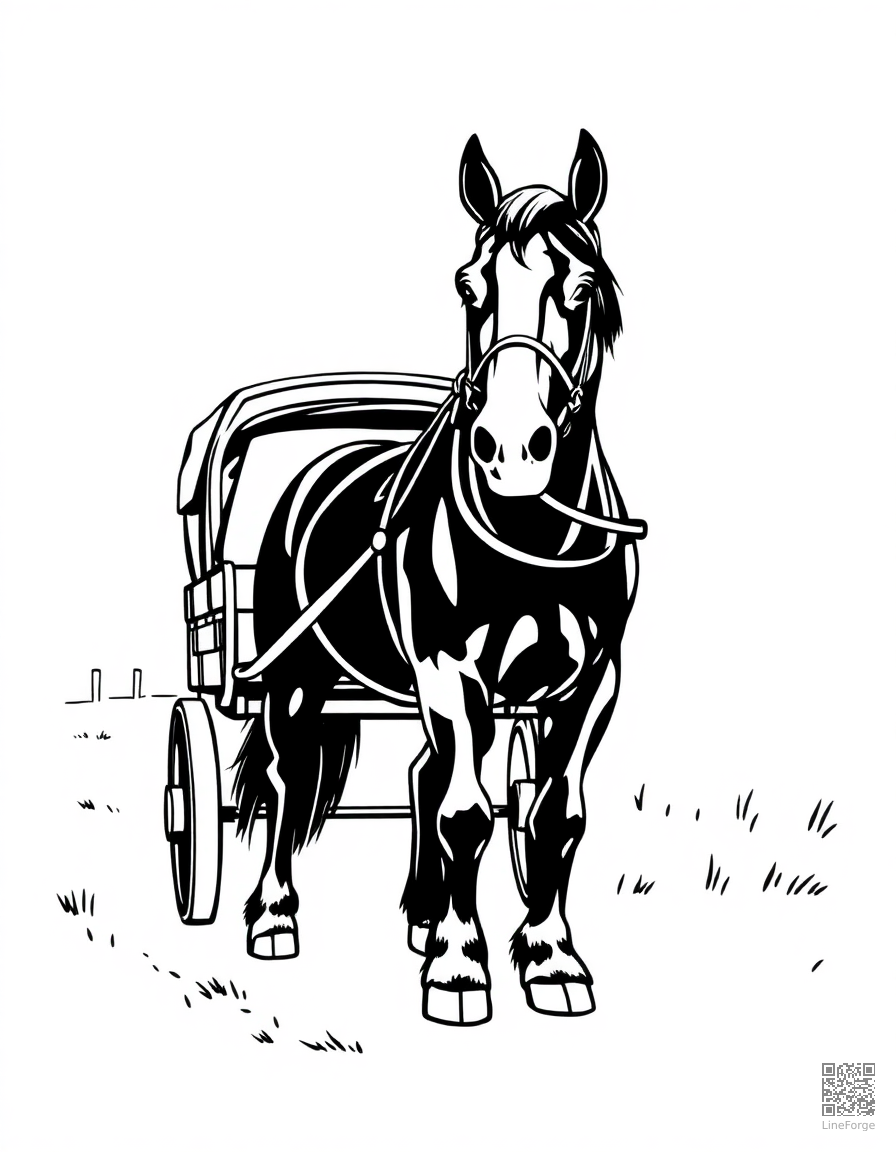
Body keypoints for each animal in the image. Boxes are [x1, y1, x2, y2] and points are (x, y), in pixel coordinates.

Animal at [232, 129, 641, 1026]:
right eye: (469, 287)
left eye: (582, 287)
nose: (513, 449)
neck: (531, 537)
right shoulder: (450, 669)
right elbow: (465, 811)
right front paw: (460, 967)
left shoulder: (590, 684)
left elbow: (553, 816)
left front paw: (550, 958)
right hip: (295, 680)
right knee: (285, 778)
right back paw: (276, 914)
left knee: (423, 770)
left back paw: (423, 914)